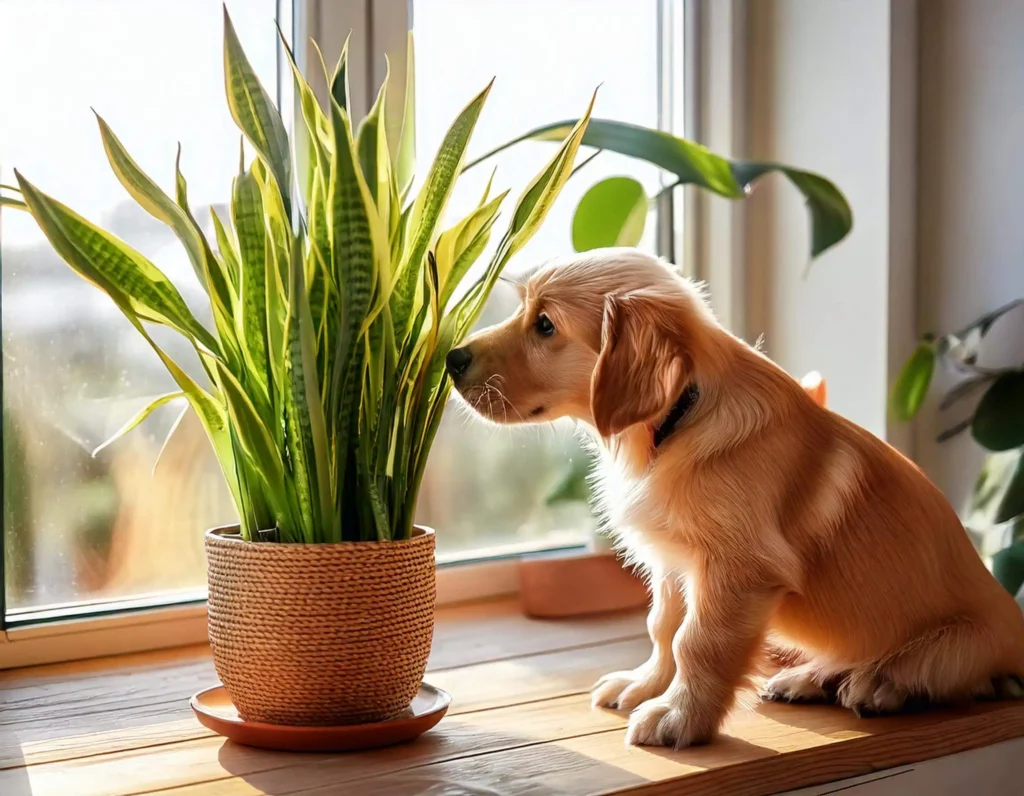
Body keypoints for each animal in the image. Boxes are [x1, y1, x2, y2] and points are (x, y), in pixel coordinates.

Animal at [446, 246, 1024, 745]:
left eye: (545, 325)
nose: (451, 358)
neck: (680, 418)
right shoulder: (675, 561)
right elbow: (663, 627)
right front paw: (646, 685)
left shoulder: (739, 568)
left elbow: (697, 642)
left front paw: (679, 717)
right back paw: (807, 678)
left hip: (961, 642)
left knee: (940, 672)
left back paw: (878, 684)